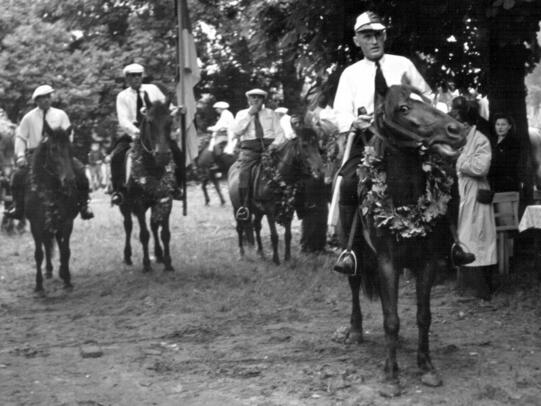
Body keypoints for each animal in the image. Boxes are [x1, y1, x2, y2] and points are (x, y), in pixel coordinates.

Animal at [25, 123, 79, 292]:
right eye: (53, 149)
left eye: (71, 148)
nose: (69, 181)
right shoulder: (35, 224)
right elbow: (38, 253)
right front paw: (38, 286)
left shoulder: (67, 222)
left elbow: (65, 251)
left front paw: (67, 279)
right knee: (46, 244)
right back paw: (48, 271)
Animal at [118, 97, 176, 272]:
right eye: (150, 122)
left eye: (170, 121)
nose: (163, 155)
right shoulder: (138, 203)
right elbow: (144, 234)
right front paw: (146, 265)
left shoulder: (166, 199)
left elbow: (165, 233)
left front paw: (168, 262)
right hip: (125, 205)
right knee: (128, 225)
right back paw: (127, 256)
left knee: (153, 225)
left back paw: (158, 255)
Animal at [227, 128, 322, 264]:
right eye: (304, 145)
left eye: (316, 144)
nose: (319, 169)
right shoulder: (270, 211)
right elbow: (274, 236)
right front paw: (276, 259)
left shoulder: (289, 209)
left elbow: (288, 235)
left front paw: (287, 258)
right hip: (238, 209)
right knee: (239, 228)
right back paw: (241, 253)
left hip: (258, 211)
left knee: (257, 226)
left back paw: (261, 252)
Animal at [342, 85, 468, 394]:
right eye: (402, 108)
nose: (457, 130)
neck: (406, 202)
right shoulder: (387, 262)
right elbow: (391, 319)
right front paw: (391, 375)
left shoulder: (426, 262)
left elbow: (423, 316)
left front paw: (427, 366)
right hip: (356, 251)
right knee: (354, 283)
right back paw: (355, 330)